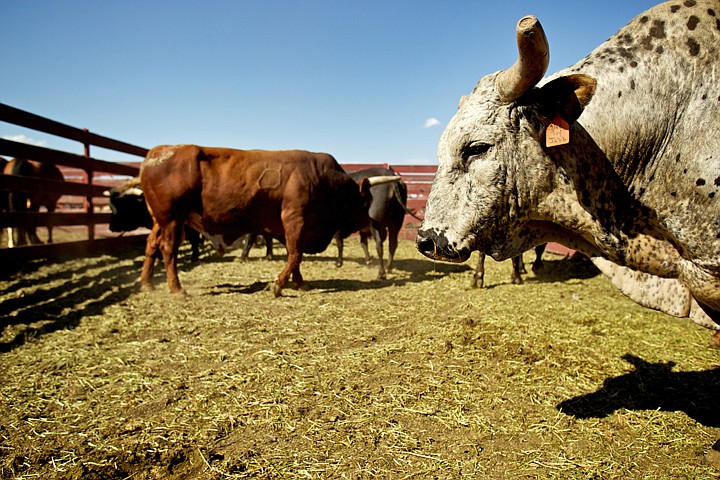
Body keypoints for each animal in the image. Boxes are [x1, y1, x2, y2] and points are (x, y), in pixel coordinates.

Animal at [141, 144, 400, 298]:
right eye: (364, 201)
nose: (370, 223)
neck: (322, 178)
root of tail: (157, 152)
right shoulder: (294, 218)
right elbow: (295, 254)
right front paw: (278, 284)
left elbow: (296, 255)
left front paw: (300, 283)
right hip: (172, 219)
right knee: (168, 249)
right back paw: (176, 288)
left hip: (160, 221)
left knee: (152, 246)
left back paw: (147, 283)